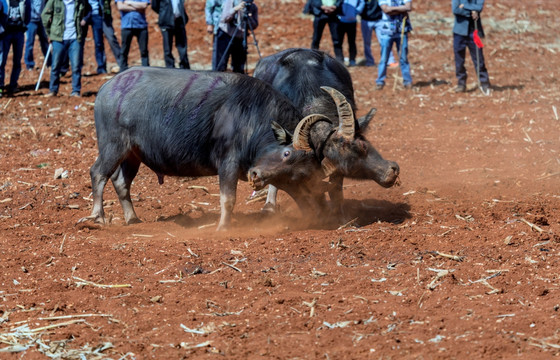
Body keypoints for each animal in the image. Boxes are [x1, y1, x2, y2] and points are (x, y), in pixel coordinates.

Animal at [85, 67, 330, 229]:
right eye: (287, 153)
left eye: (304, 176)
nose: (255, 176)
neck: (252, 116)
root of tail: (107, 87)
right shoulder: (228, 163)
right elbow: (227, 199)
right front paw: (223, 227)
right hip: (113, 146)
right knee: (98, 173)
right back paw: (98, 217)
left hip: (132, 154)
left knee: (121, 181)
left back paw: (132, 218)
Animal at [252, 47, 400, 217]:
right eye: (350, 168)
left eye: (363, 145)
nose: (390, 174)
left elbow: (334, 188)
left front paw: (338, 214)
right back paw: (269, 205)